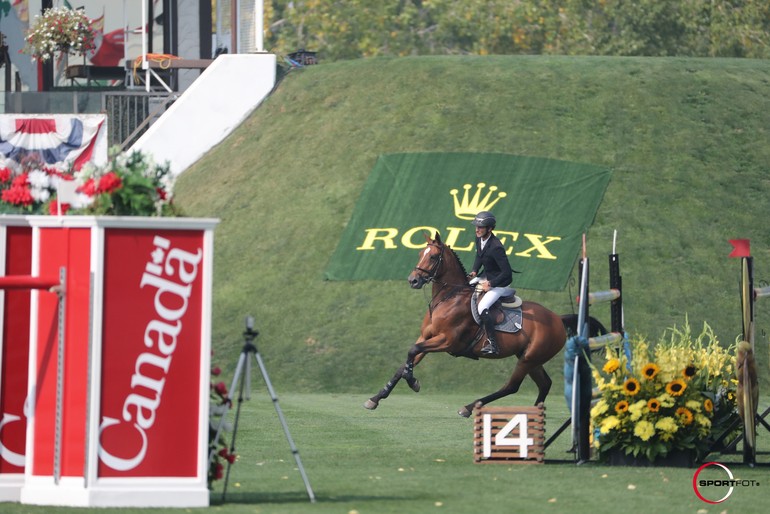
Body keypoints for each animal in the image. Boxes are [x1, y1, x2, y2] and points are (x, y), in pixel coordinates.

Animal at [364, 232, 568, 416]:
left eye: (433, 256)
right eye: (420, 253)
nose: (413, 280)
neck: (448, 298)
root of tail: (558, 319)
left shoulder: (446, 341)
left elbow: (412, 351)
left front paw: (413, 382)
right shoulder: (426, 337)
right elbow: (405, 362)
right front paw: (376, 398)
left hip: (528, 360)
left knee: (511, 386)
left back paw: (468, 408)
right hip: (531, 358)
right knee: (545, 384)